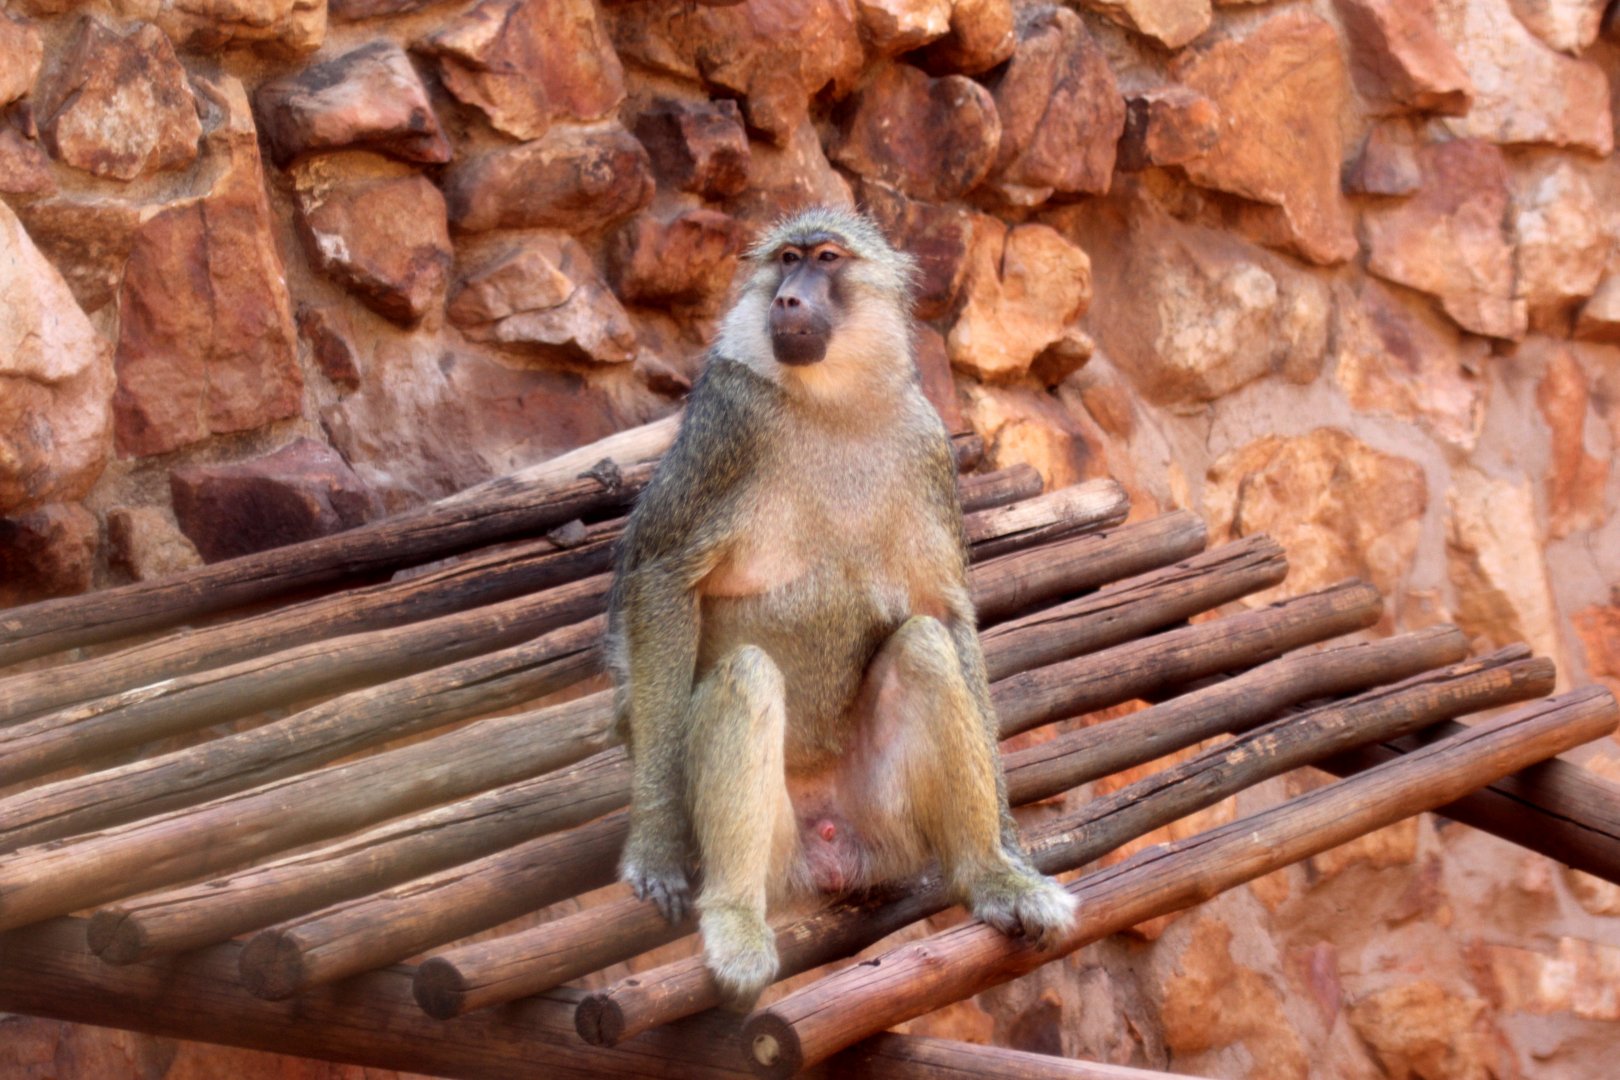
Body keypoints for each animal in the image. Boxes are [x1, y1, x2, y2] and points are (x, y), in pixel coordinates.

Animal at [605, 206, 1077, 1007]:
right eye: (786, 259)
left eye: (826, 259)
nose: (788, 299)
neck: (833, 399)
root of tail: (829, 851)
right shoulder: (727, 422)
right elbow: (662, 582)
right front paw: (656, 846)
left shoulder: (925, 443)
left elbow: (945, 615)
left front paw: (1011, 846)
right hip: (779, 847)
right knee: (747, 675)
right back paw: (734, 920)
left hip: (886, 828)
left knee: (923, 649)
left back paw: (989, 877)